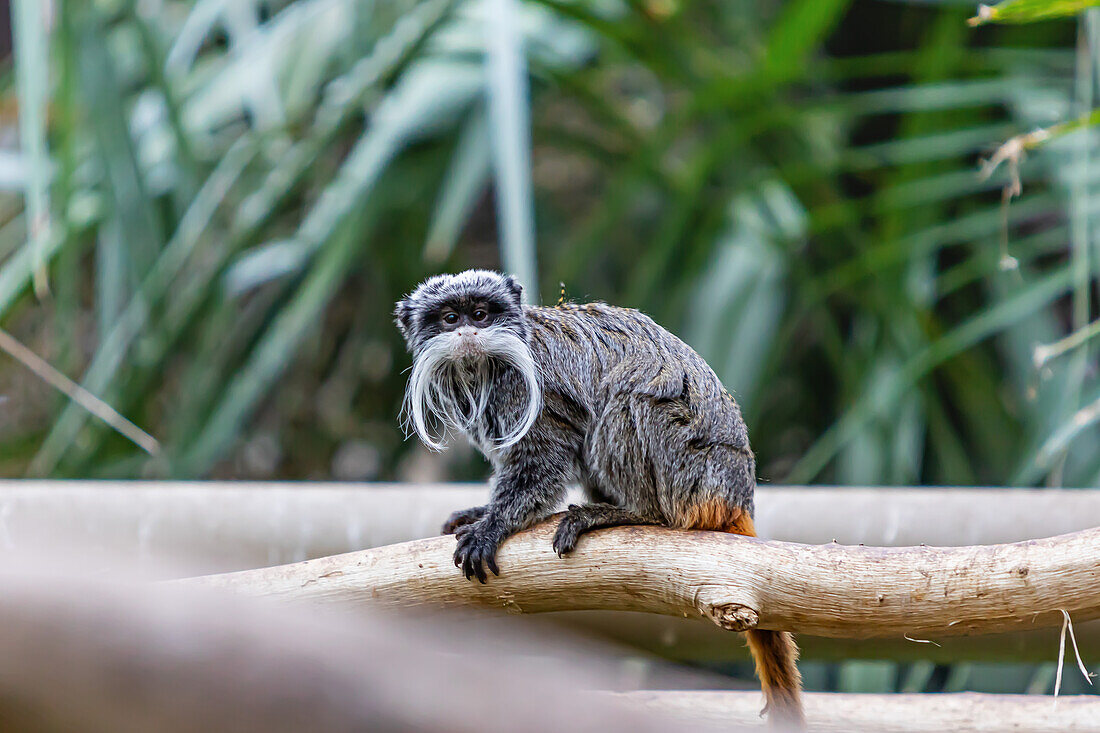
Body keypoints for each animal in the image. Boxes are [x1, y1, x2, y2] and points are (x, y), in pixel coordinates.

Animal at [398, 268, 809, 726]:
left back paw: (629, 513)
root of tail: (736, 494)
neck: (484, 371)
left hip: (686, 468)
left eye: (482, 314)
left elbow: (543, 463)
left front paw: (493, 526)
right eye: (450, 318)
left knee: (627, 400)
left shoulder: (531, 393)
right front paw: (480, 511)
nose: (468, 331)